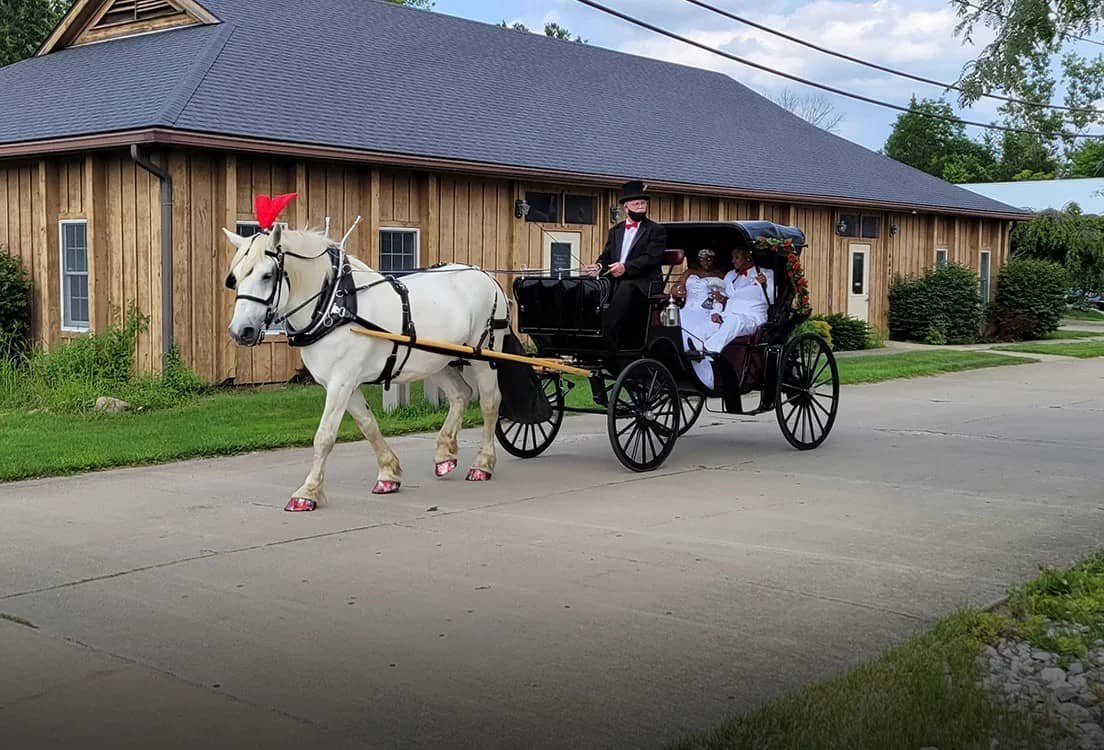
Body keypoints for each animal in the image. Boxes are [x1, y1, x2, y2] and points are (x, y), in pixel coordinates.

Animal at [225, 226, 516, 512]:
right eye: (235, 278)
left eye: (267, 275)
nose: (241, 331)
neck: (334, 307)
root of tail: (485, 275)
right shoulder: (343, 382)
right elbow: (368, 425)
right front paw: (389, 474)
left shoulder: (341, 381)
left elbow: (324, 436)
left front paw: (307, 493)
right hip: (434, 359)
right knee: (461, 394)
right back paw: (445, 454)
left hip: (483, 355)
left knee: (490, 403)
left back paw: (482, 464)